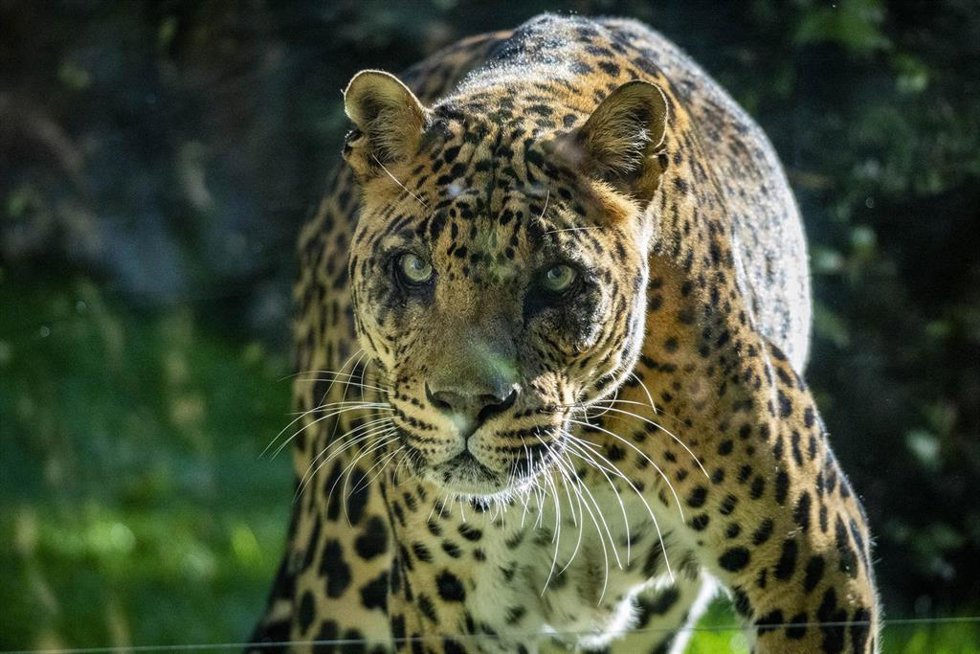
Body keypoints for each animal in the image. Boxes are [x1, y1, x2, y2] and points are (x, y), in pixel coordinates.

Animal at [250, 13, 880, 654]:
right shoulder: (441, 605)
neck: (579, 464)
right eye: (414, 268)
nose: (466, 404)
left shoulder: (819, 573)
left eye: (556, 278)